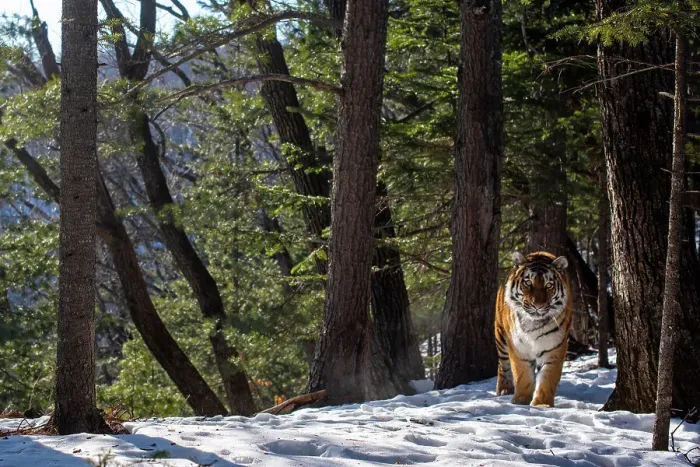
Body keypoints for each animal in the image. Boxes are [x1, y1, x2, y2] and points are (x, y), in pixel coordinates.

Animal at [494, 251, 572, 408]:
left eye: (549, 285)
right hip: (500, 336)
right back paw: (504, 388)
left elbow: (548, 378)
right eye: (528, 282)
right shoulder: (518, 348)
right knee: (502, 364)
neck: (533, 324)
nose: (537, 305)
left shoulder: (555, 347)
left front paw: (542, 404)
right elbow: (522, 375)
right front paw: (520, 401)